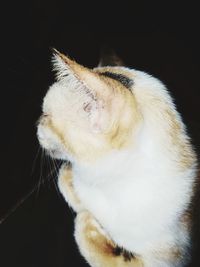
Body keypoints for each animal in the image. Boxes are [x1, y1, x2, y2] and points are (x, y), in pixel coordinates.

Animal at [36, 48, 198, 267]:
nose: (36, 124)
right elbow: (69, 184)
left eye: (45, 116)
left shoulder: (164, 260)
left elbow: (97, 249)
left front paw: (87, 224)